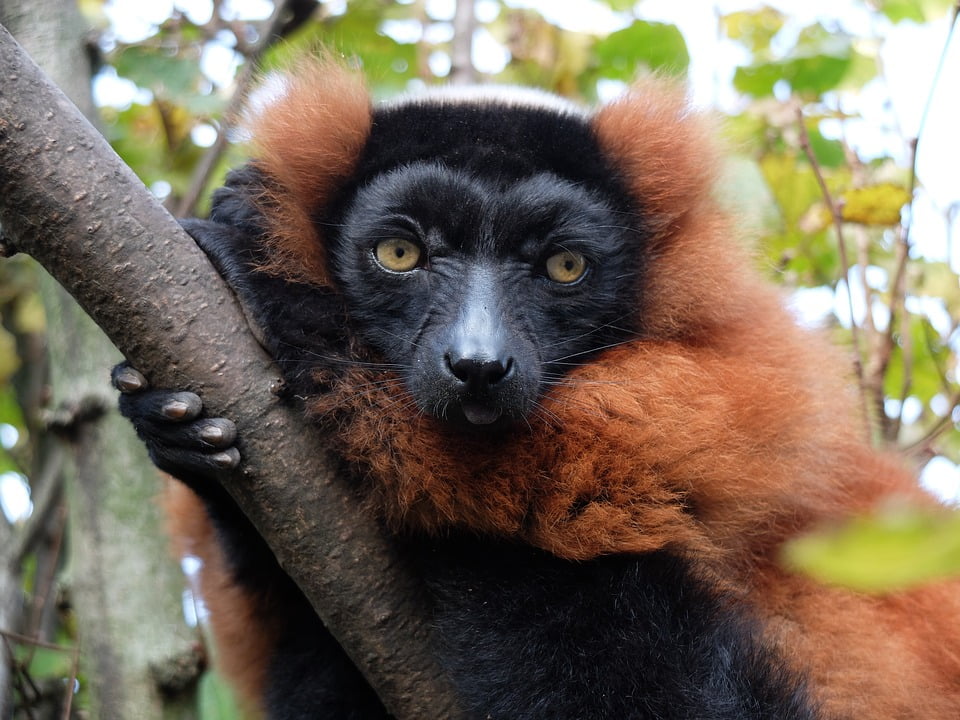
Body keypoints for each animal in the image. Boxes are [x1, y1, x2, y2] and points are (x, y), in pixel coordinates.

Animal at [113, 57, 960, 719]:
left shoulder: (746, 389)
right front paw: (178, 427)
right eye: (399, 253)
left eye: (564, 266)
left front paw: (282, 297)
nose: (478, 364)